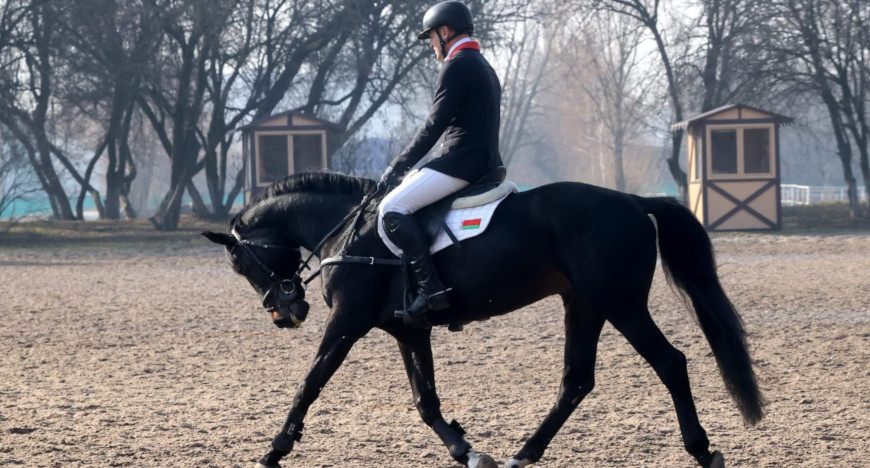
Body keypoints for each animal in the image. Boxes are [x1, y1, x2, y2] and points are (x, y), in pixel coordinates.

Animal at [204, 173, 764, 468]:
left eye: (239, 262)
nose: (285, 313)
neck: (350, 232)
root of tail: (632, 200)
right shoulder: (408, 329)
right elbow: (426, 402)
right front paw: (468, 451)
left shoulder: (348, 321)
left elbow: (311, 381)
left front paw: (275, 449)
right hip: (584, 305)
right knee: (576, 381)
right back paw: (523, 455)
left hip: (621, 304)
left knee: (670, 363)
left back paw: (702, 450)